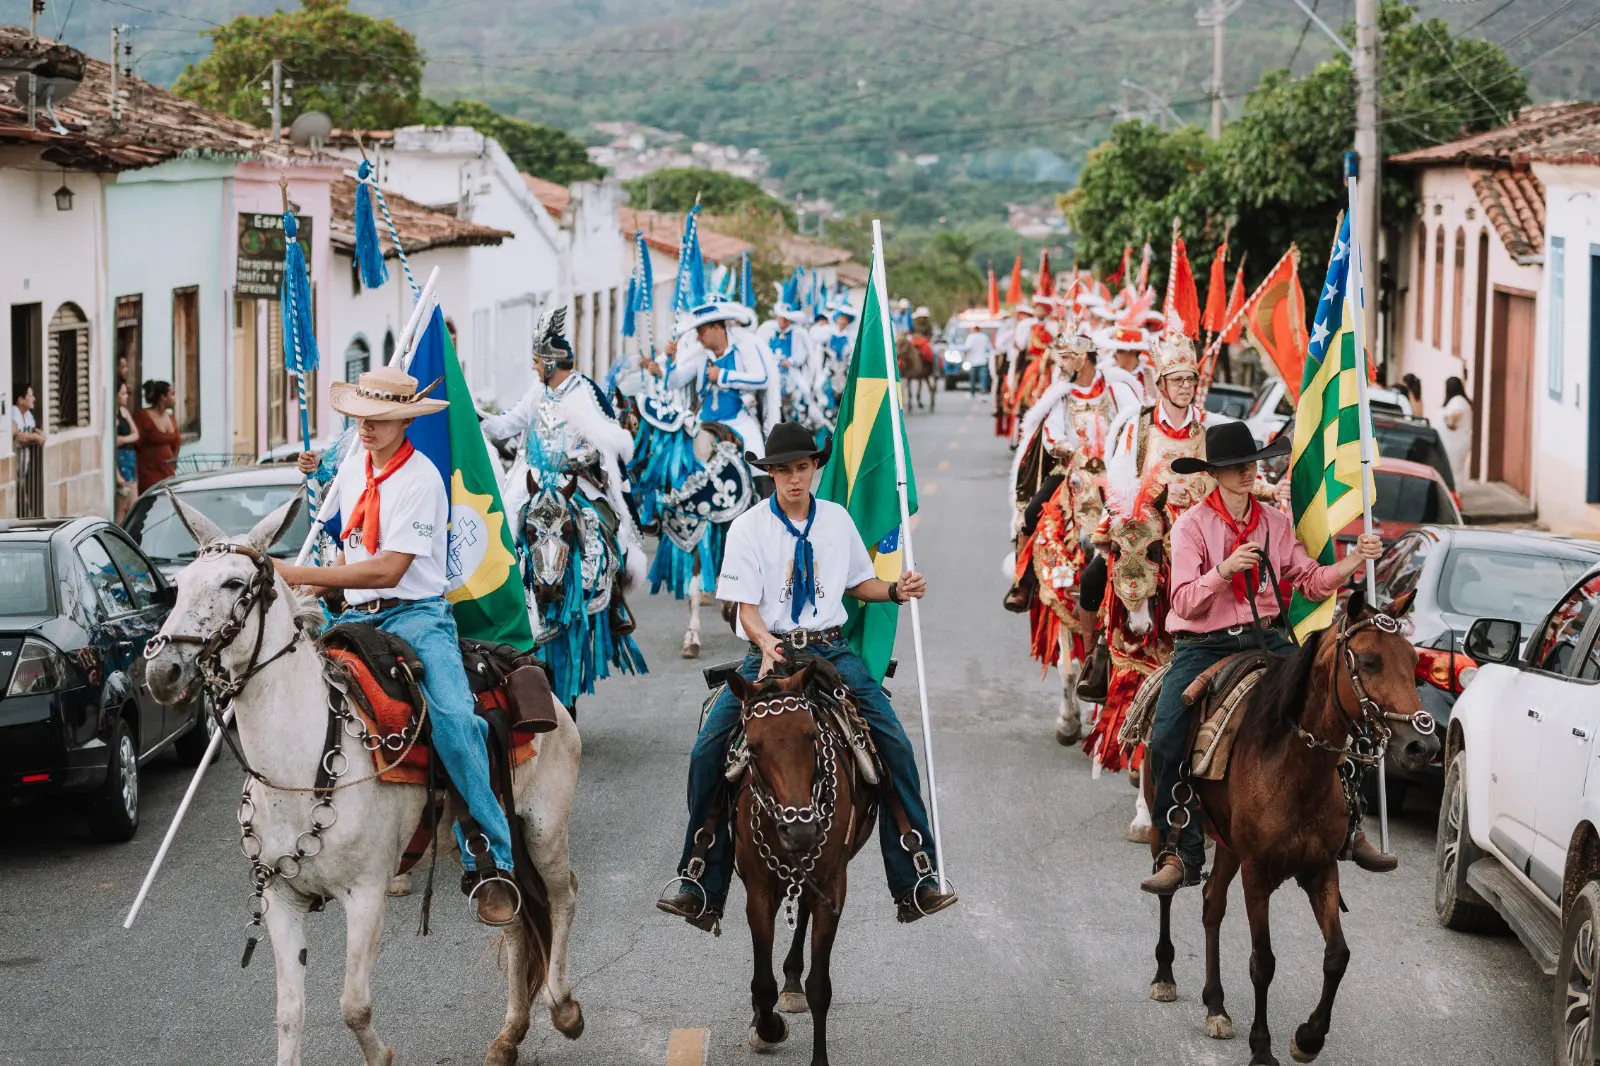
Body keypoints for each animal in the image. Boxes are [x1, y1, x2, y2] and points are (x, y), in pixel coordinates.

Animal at [144, 499, 588, 1062]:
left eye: (232, 583)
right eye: (179, 587)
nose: (162, 671)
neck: (298, 768)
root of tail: (537, 682)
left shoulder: (366, 894)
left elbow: (353, 1005)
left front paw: (382, 1054)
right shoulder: (282, 899)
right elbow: (290, 1014)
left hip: (544, 828)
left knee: (562, 895)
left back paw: (564, 1008)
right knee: (513, 923)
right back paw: (508, 1036)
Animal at [723, 659, 876, 1056]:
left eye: (810, 736)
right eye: (753, 748)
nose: (801, 830)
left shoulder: (832, 886)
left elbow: (820, 987)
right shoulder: (759, 891)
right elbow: (762, 983)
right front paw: (767, 1028)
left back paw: (792, 982)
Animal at [1139, 589, 1440, 1062]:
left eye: (1413, 662)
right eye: (1369, 661)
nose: (1422, 745)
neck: (1292, 767)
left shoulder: (1321, 870)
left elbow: (1337, 955)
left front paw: (1309, 1038)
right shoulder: (1257, 874)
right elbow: (1263, 963)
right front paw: (1262, 1050)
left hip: (1228, 846)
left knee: (1211, 905)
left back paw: (1216, 1005)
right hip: (1162, 823)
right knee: (1167, 888)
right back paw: (1164, 976)